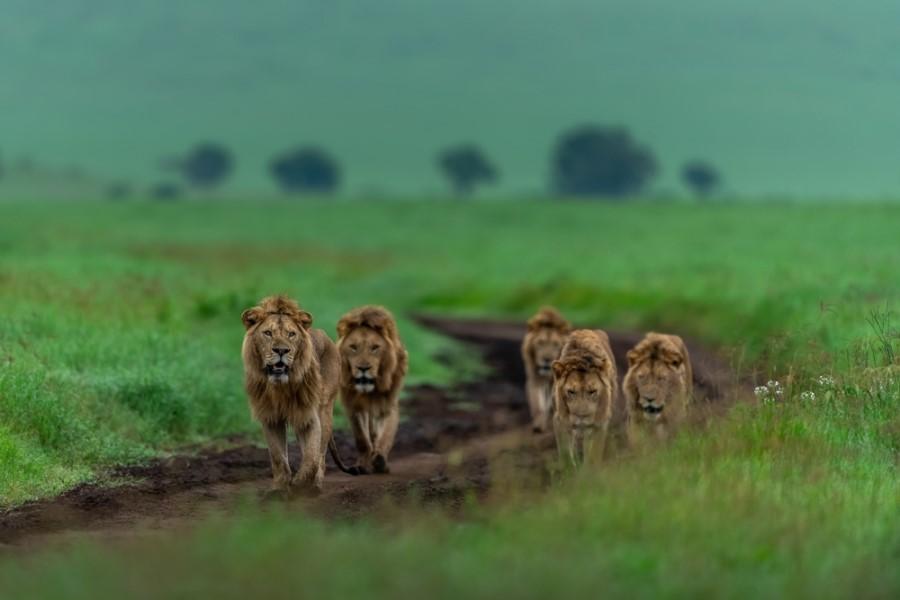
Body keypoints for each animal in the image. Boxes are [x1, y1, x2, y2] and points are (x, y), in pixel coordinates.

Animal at [241, 295, 356, 495]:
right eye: (268, 333)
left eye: (291, 334)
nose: (281, 351)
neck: (280, 387)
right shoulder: (270, 417)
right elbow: (278, 457)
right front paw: (280, 489)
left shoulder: (310, 416)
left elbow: (312, 457)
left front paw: (300, 484)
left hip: (325, 409)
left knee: (321, 455)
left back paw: (315, 486)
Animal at [336, 305, 408, 475]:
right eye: (353, 347)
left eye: (375, 348)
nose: (363, 368)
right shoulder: (354, 406)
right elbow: (362, 439)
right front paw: (361, 465)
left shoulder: (388, 405)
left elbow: (385, 436)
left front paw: (380, 461)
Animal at [551, 329, 618, 466]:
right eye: (571, 392)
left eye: (592, 391)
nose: (581, 416)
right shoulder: (559, 420)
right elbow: (565, 455)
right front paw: (569, 470)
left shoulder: (600, 424)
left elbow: (593, 458)